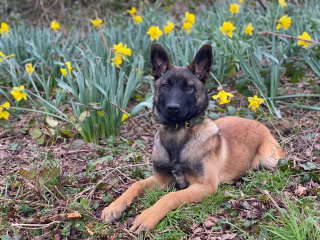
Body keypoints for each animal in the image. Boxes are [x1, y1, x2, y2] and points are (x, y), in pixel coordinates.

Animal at [100, 42, 284, 231]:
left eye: (188, 87)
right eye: (165, 86)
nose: (172, 108)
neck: (177, 134)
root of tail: (259, 124)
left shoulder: (204, 186)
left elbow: (170, 196)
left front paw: (147, 216)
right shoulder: (161, 179)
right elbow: (135, 184)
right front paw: (115, 206)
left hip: (268, 159)